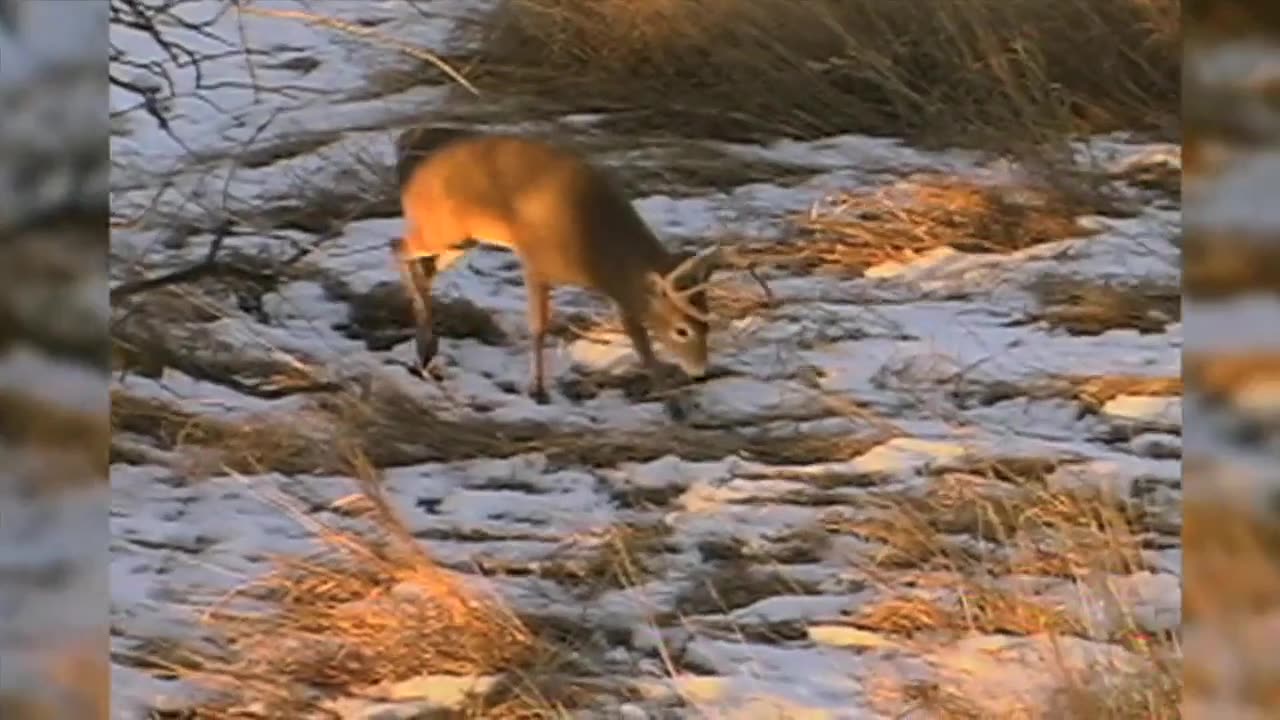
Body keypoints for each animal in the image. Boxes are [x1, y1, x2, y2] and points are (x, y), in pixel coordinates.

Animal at [389, 129, 768, 407]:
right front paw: (538, 391)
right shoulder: (537, 264)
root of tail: (412, 176)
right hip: (443, 230)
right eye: (682, 331)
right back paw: (424, 343)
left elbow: (640, 341)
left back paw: (426, 344)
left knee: (421, 267)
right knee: (398, 247)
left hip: (462, 240)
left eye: (707, 325)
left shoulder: (618, 289)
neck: (594, 245)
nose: (701, 373)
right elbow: (539, 327)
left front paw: (672, 404)